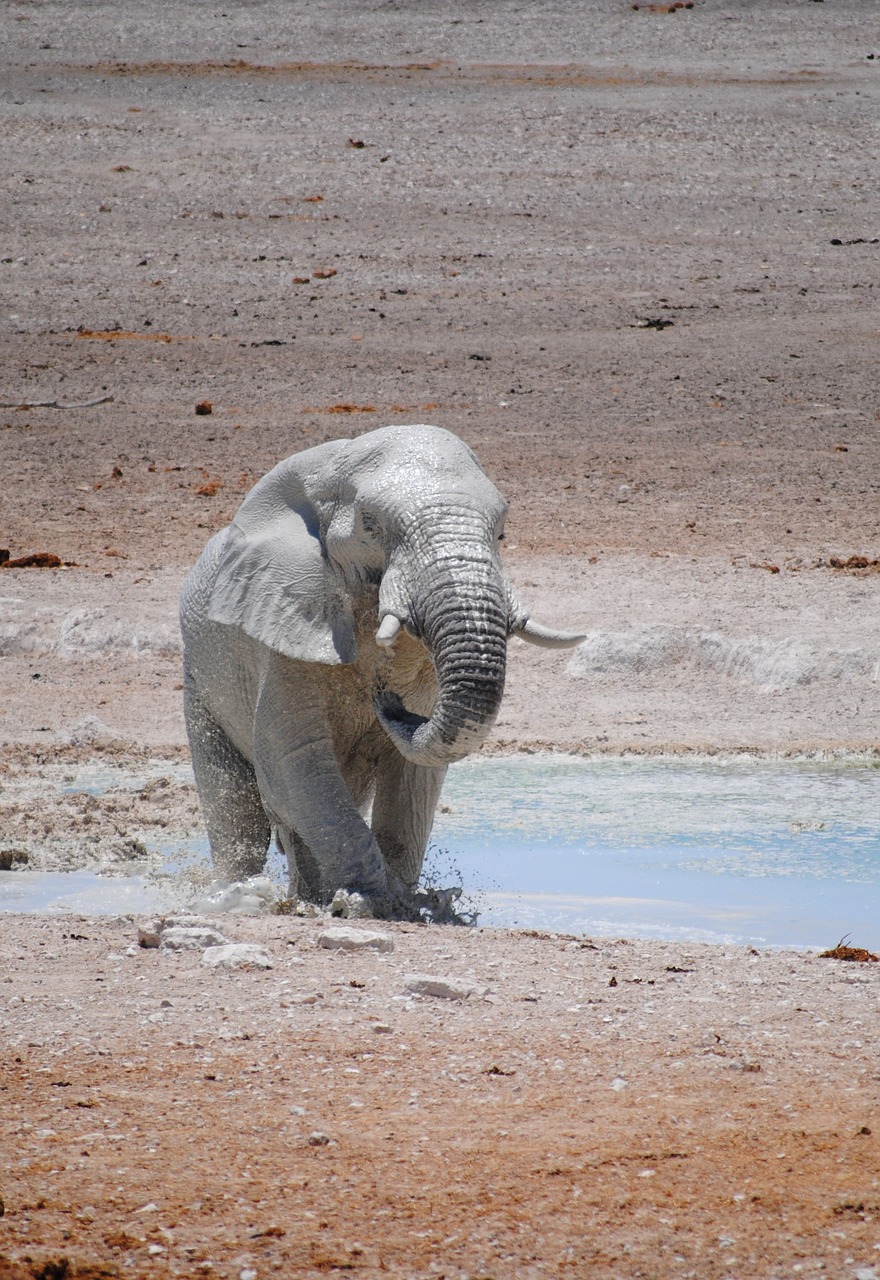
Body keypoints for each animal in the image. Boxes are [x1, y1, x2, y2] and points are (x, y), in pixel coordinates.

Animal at [180, 424, 583, 916]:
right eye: (371, 524)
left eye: (502, 532)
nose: (387, 701)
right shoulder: (282, 635)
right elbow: (291, 761)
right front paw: (367, 903)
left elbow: (414, 777)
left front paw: (415, 905)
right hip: (200, 676)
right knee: (235, 803)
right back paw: (241, 897)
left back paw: (306, 899)